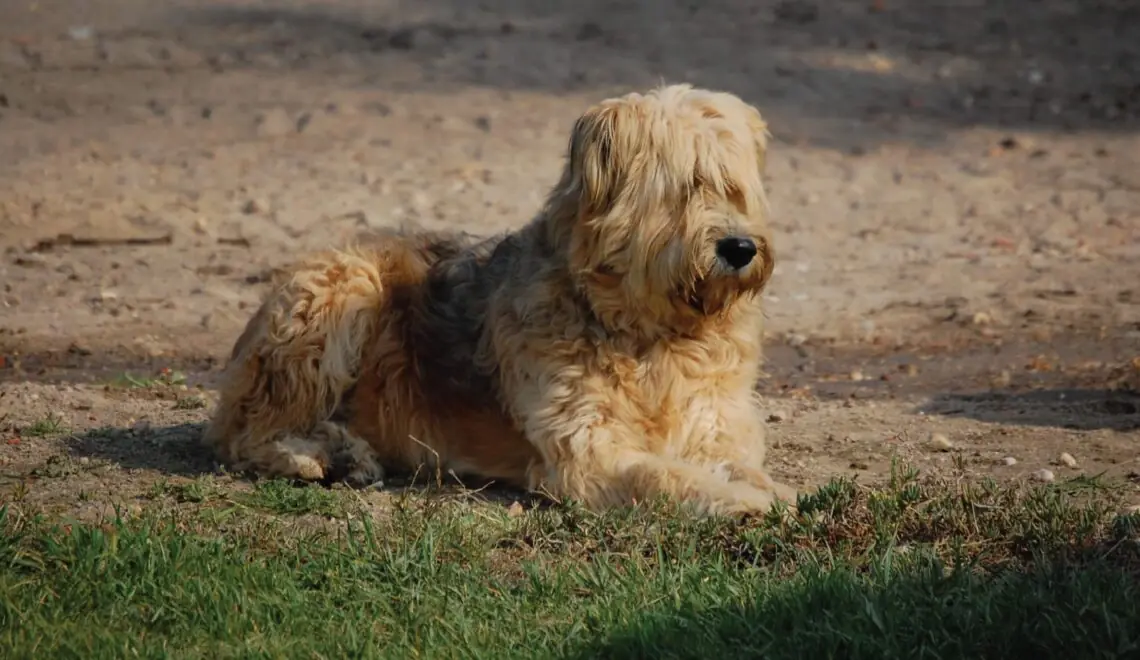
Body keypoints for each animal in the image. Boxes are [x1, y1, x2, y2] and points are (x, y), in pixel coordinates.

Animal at [202, 83, 793, 517]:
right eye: (684, 189)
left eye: (735, 190)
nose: (740, 248)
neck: (650, 335)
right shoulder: (591, 454)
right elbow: (665, 475)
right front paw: (743, 502)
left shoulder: (713, 431)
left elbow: (738, 465)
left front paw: (771, 490)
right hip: (342, 291)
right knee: (242, 433)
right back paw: (309, 457)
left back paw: (348, 453)